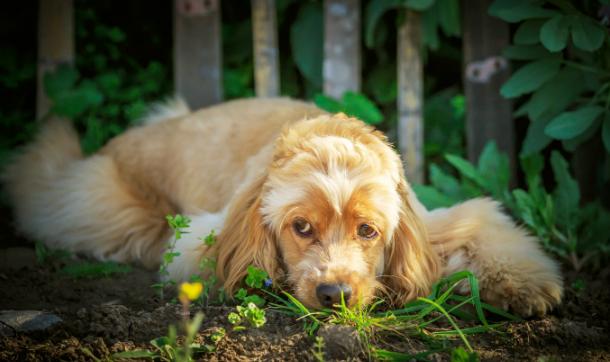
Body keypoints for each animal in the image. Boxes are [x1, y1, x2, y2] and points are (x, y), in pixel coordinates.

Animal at [2, 97, 560, 316]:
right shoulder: (201, 237)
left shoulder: (430, 221)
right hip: (105, 206)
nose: (334, 294)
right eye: (301, 227)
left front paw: (526, 285)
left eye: (368, 231)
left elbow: (484, 227)